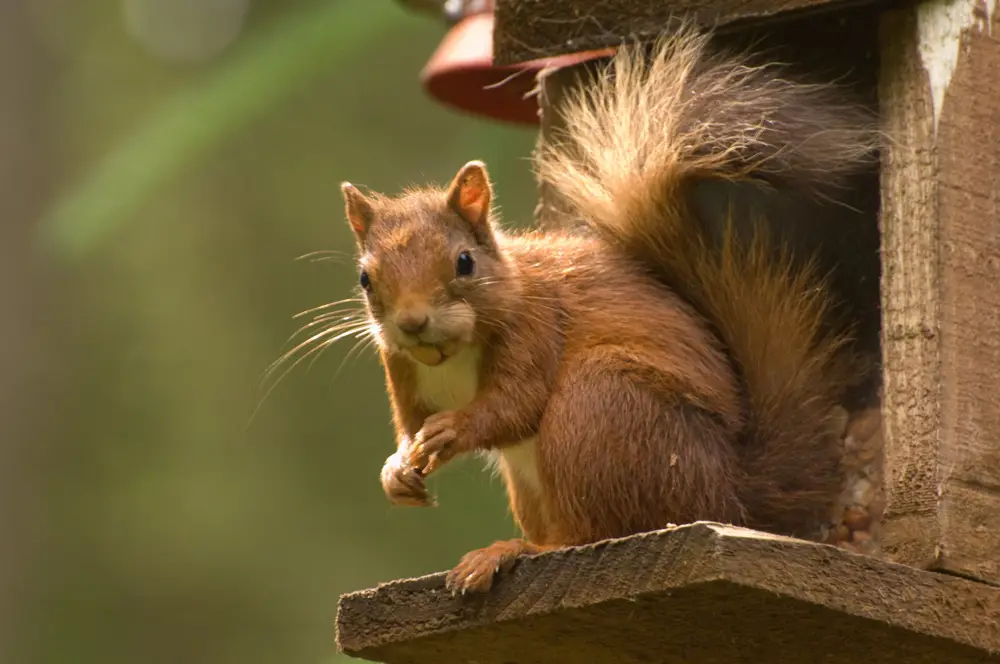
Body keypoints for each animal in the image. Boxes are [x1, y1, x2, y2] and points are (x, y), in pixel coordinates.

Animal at [337, 24, 882, 595]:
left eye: (464, 262)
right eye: (366, 278)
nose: (412, 322)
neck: (453, 354)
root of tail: (730, 495)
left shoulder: (538, 327)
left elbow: (516, 403)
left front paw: (452, 431)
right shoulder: (399, 366)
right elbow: (410, 423)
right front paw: (397, 470)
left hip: (600, 407)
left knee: (584, 534)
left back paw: (513, 550)